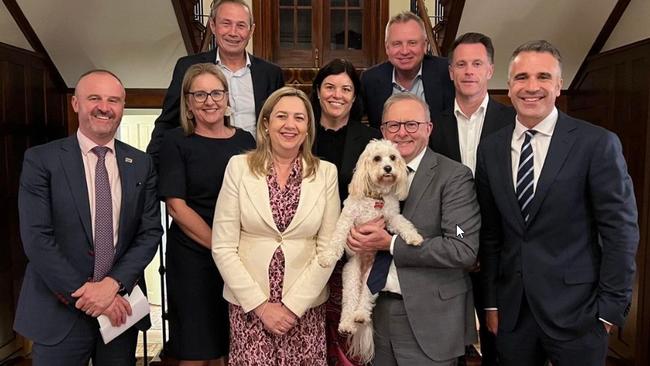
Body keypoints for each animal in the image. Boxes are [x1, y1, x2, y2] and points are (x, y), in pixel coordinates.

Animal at [316, 138, 422, 364]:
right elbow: (337, 237)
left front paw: (414, 237)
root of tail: (364, 269)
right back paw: (347, 324)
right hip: (350, 276)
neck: (376, 197)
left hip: (372, 279)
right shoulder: (348, 219)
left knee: (364, 300)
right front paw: (327, 257)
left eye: (393, 157)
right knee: (349, 301)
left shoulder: (391, 217)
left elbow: (404, 224)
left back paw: (360, 316)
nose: (388, 168)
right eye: (377, 158)